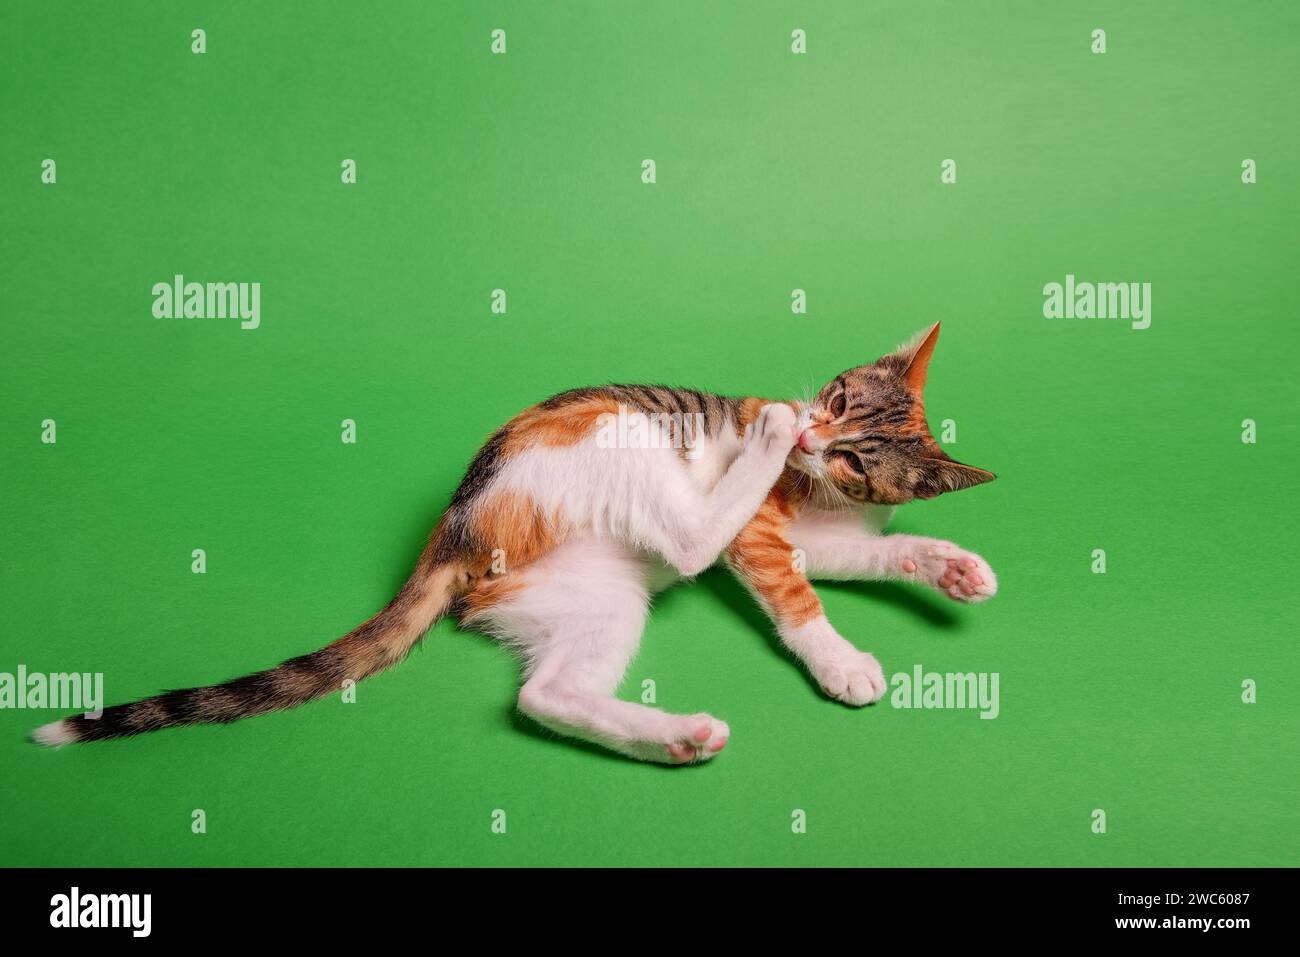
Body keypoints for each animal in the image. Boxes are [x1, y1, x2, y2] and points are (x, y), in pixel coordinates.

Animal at [38, 321, 993, 764]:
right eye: (835, 397)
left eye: (858, 455)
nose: (807, 431)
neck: (817, 492)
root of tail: (454, 524)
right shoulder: (762, 529)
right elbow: (794, 590)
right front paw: (840, 660)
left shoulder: (820, 530)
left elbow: (855, 556)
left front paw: (948, 565)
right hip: (614, 438)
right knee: (689, 537)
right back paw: (758, 438)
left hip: (594, 594)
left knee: (547, 695)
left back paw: (673, 736)